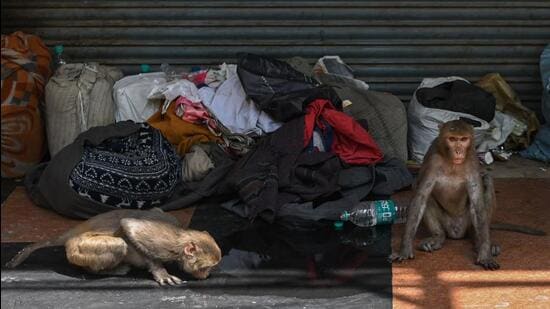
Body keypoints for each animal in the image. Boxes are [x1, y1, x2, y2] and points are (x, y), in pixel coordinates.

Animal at [4, 207, 222, 284]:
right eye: (206, 267)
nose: (206, 275)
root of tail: (72, 232)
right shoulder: (163, 244)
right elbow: (128, 226)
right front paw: (160, 271)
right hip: (78, 249)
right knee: (119, 245)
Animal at [390, 119, 544, 268]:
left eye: (463, 139)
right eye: (452, 139)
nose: (458, 151)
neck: (453, 163)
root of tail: (457, 232)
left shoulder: (472, 162)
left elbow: (477, 203)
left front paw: (485, 253)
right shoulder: (433, 161)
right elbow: (420, 198)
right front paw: (404, 250)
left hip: (467, 221)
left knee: (487, 180)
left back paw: (477, 239)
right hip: (446, 222)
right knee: (420, 189)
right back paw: (438, 236)